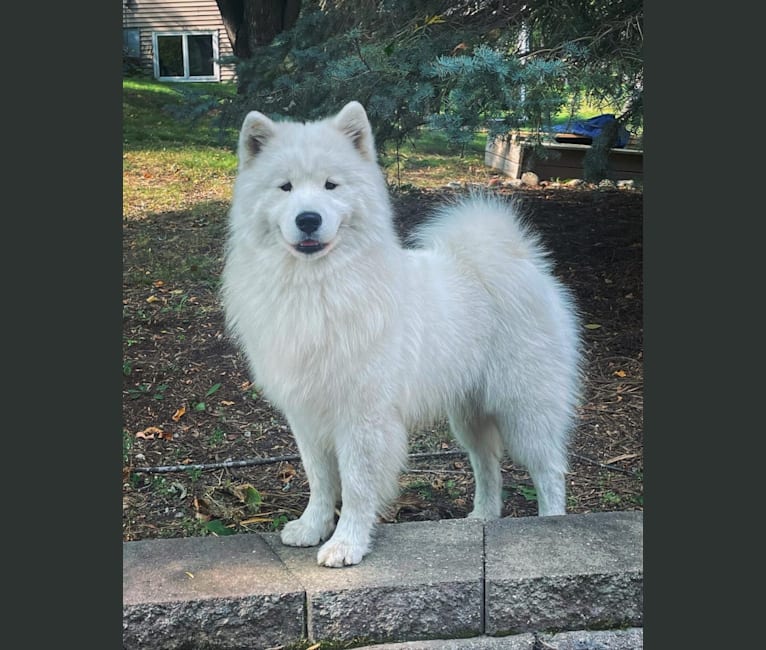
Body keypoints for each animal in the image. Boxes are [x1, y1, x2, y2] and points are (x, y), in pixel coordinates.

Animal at [224, 102, 588, 568]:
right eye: (285, 187)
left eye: (330, 185)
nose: (308, 219)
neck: (319, 285)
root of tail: (514, 259)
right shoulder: (306, 413)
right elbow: (320, 479)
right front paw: (311, 527)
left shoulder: (362, 417)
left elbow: (357, 486)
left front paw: (346, 543)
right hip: (469, 414)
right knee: (488, 466)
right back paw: (480, 519)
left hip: (525, 408)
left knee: (549, 471)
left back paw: (552, 526)